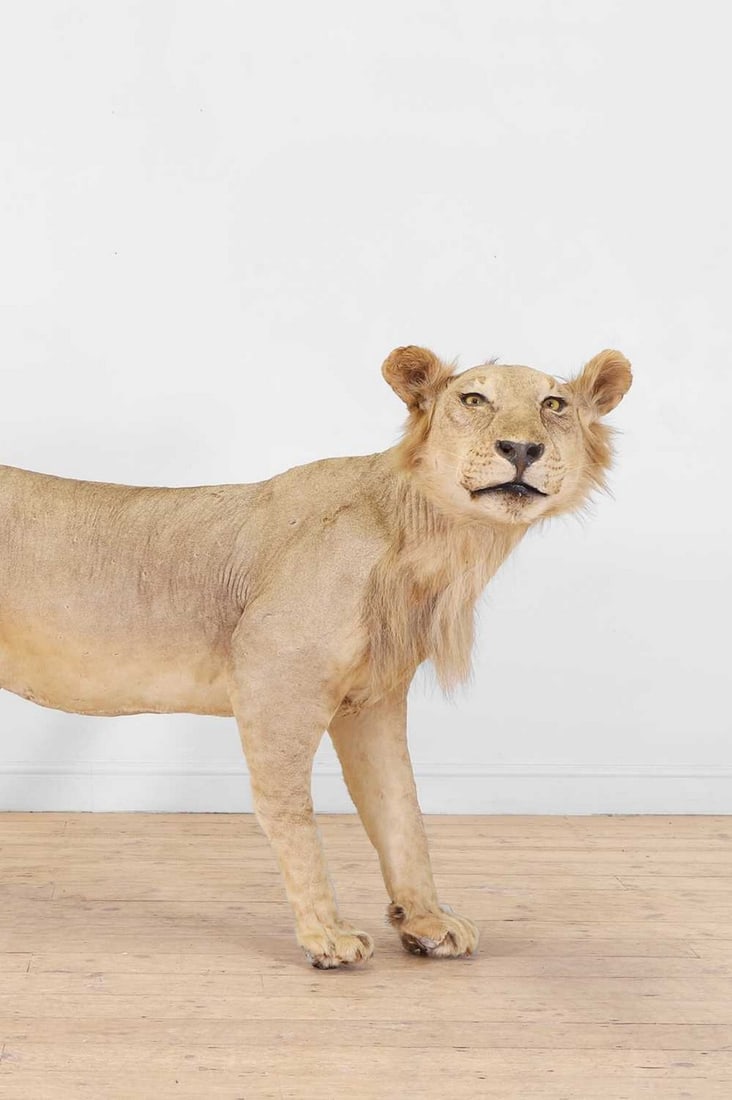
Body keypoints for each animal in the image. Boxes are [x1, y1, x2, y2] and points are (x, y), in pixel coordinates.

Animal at [0, 345, 631, 967]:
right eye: (474, 399)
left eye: (554, 404)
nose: (522, 449)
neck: (434, 545)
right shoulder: (273, 672)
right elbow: (291, 808)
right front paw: (326, 934)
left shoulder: (373, 700)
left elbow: (400, 807)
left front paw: (426, 922)